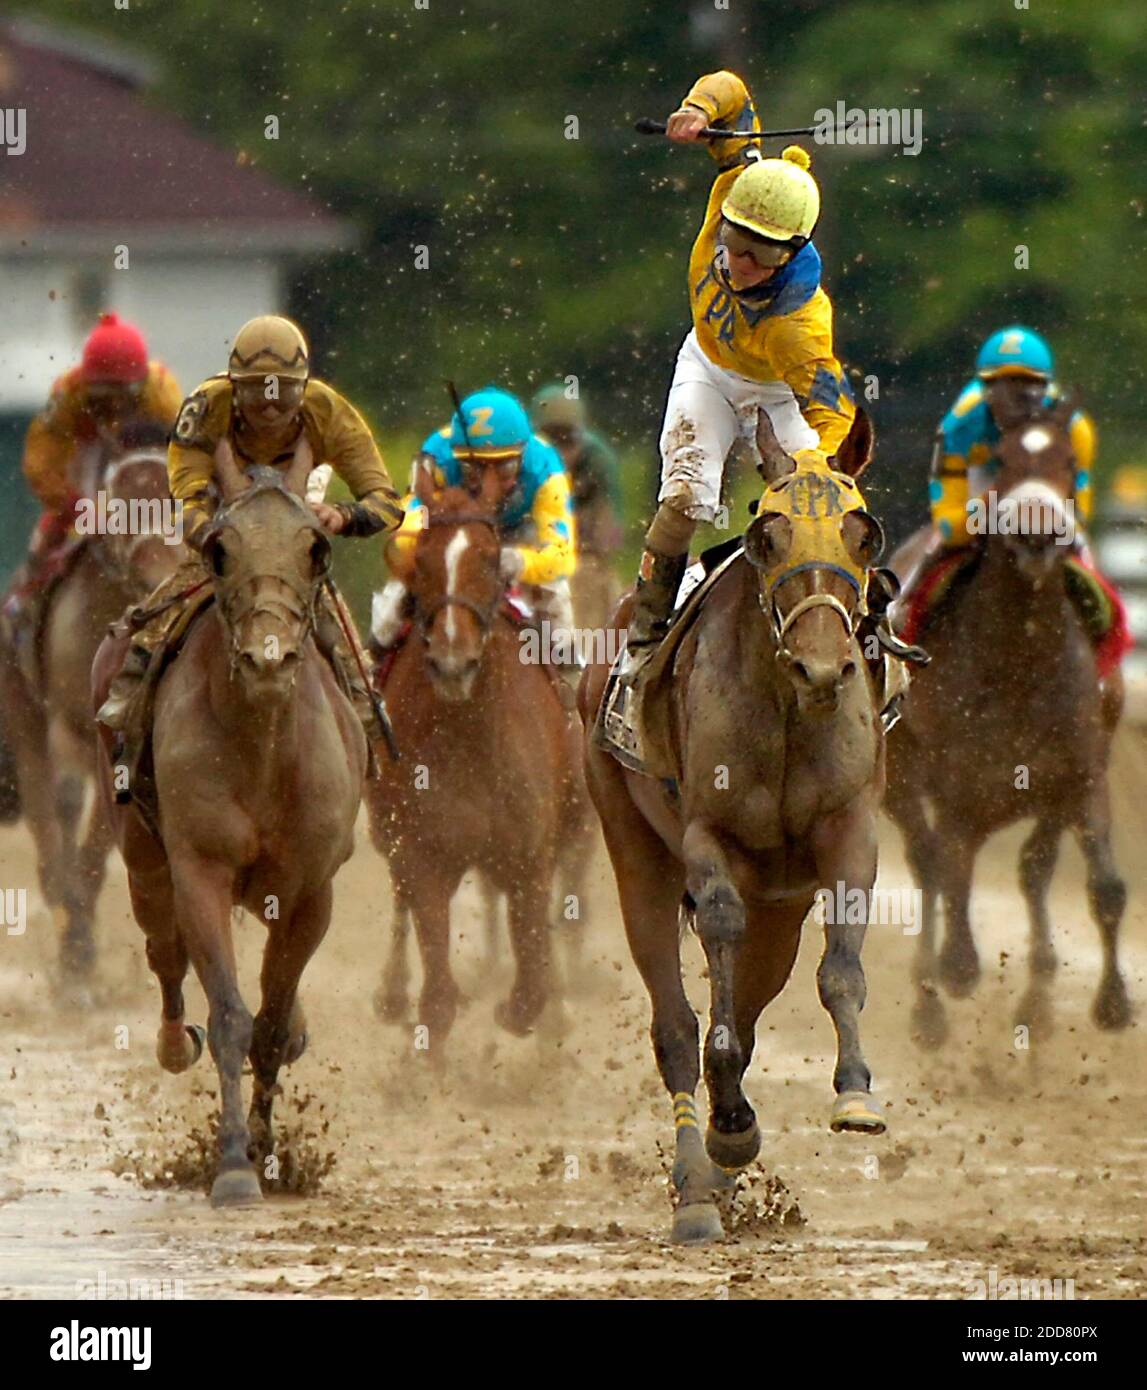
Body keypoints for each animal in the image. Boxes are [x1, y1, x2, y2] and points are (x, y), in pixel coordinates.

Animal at [0, 428, 180, 995]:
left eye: (174, 499)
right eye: (118, 504)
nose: (160, 569)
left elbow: (98, 851)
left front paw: (80, 954)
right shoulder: (64, 722)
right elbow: (64, 812)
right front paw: (74, 958)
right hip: (22, 712)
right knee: (48, 827)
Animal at [91, 444, 364, 1206]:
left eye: (316, 547)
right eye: (218, 549)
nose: (268, 658)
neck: (263, 744)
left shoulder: (311, 890)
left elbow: (271, 1022)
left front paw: (271, 1154)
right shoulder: (201, 872)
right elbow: (232, 1018)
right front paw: (236, 1165)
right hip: (144, 861)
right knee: (164, 952)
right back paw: (169, 1041)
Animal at [367, 486, 581, 1050]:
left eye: (488, 559)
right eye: (420, 561)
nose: (452, 662)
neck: (471, 738)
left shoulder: (529, 857)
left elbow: (530, 986)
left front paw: (529, 1010)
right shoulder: (423, 853)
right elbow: (438, 997)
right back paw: (391, 991)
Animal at [581, 405, 884, 1245]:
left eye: (863, 534)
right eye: (767, 535)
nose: (823, 669)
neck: (786, 707)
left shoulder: (848, 829)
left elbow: (839, 966)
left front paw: (854, 1094)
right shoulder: (705, 837)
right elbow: (715, 935)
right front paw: (724, 1134)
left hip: (780, 905)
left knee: (748, 1008)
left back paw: (724, 1154)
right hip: (631, 847)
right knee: (676, 1024)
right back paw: (695, 1186)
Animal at [884, 403, 1128, 1045]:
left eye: (1068, 460)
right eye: (1000, 458)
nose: (1039, 532)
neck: (1021, 658)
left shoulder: (1079, 774)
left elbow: (1099, 885)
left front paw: (1110, 1005)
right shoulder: (957, 785)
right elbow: (951, 871)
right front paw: (959, 967)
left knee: (1021, 870)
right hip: (897, 775)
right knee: (928, 861)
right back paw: (929, 1006)